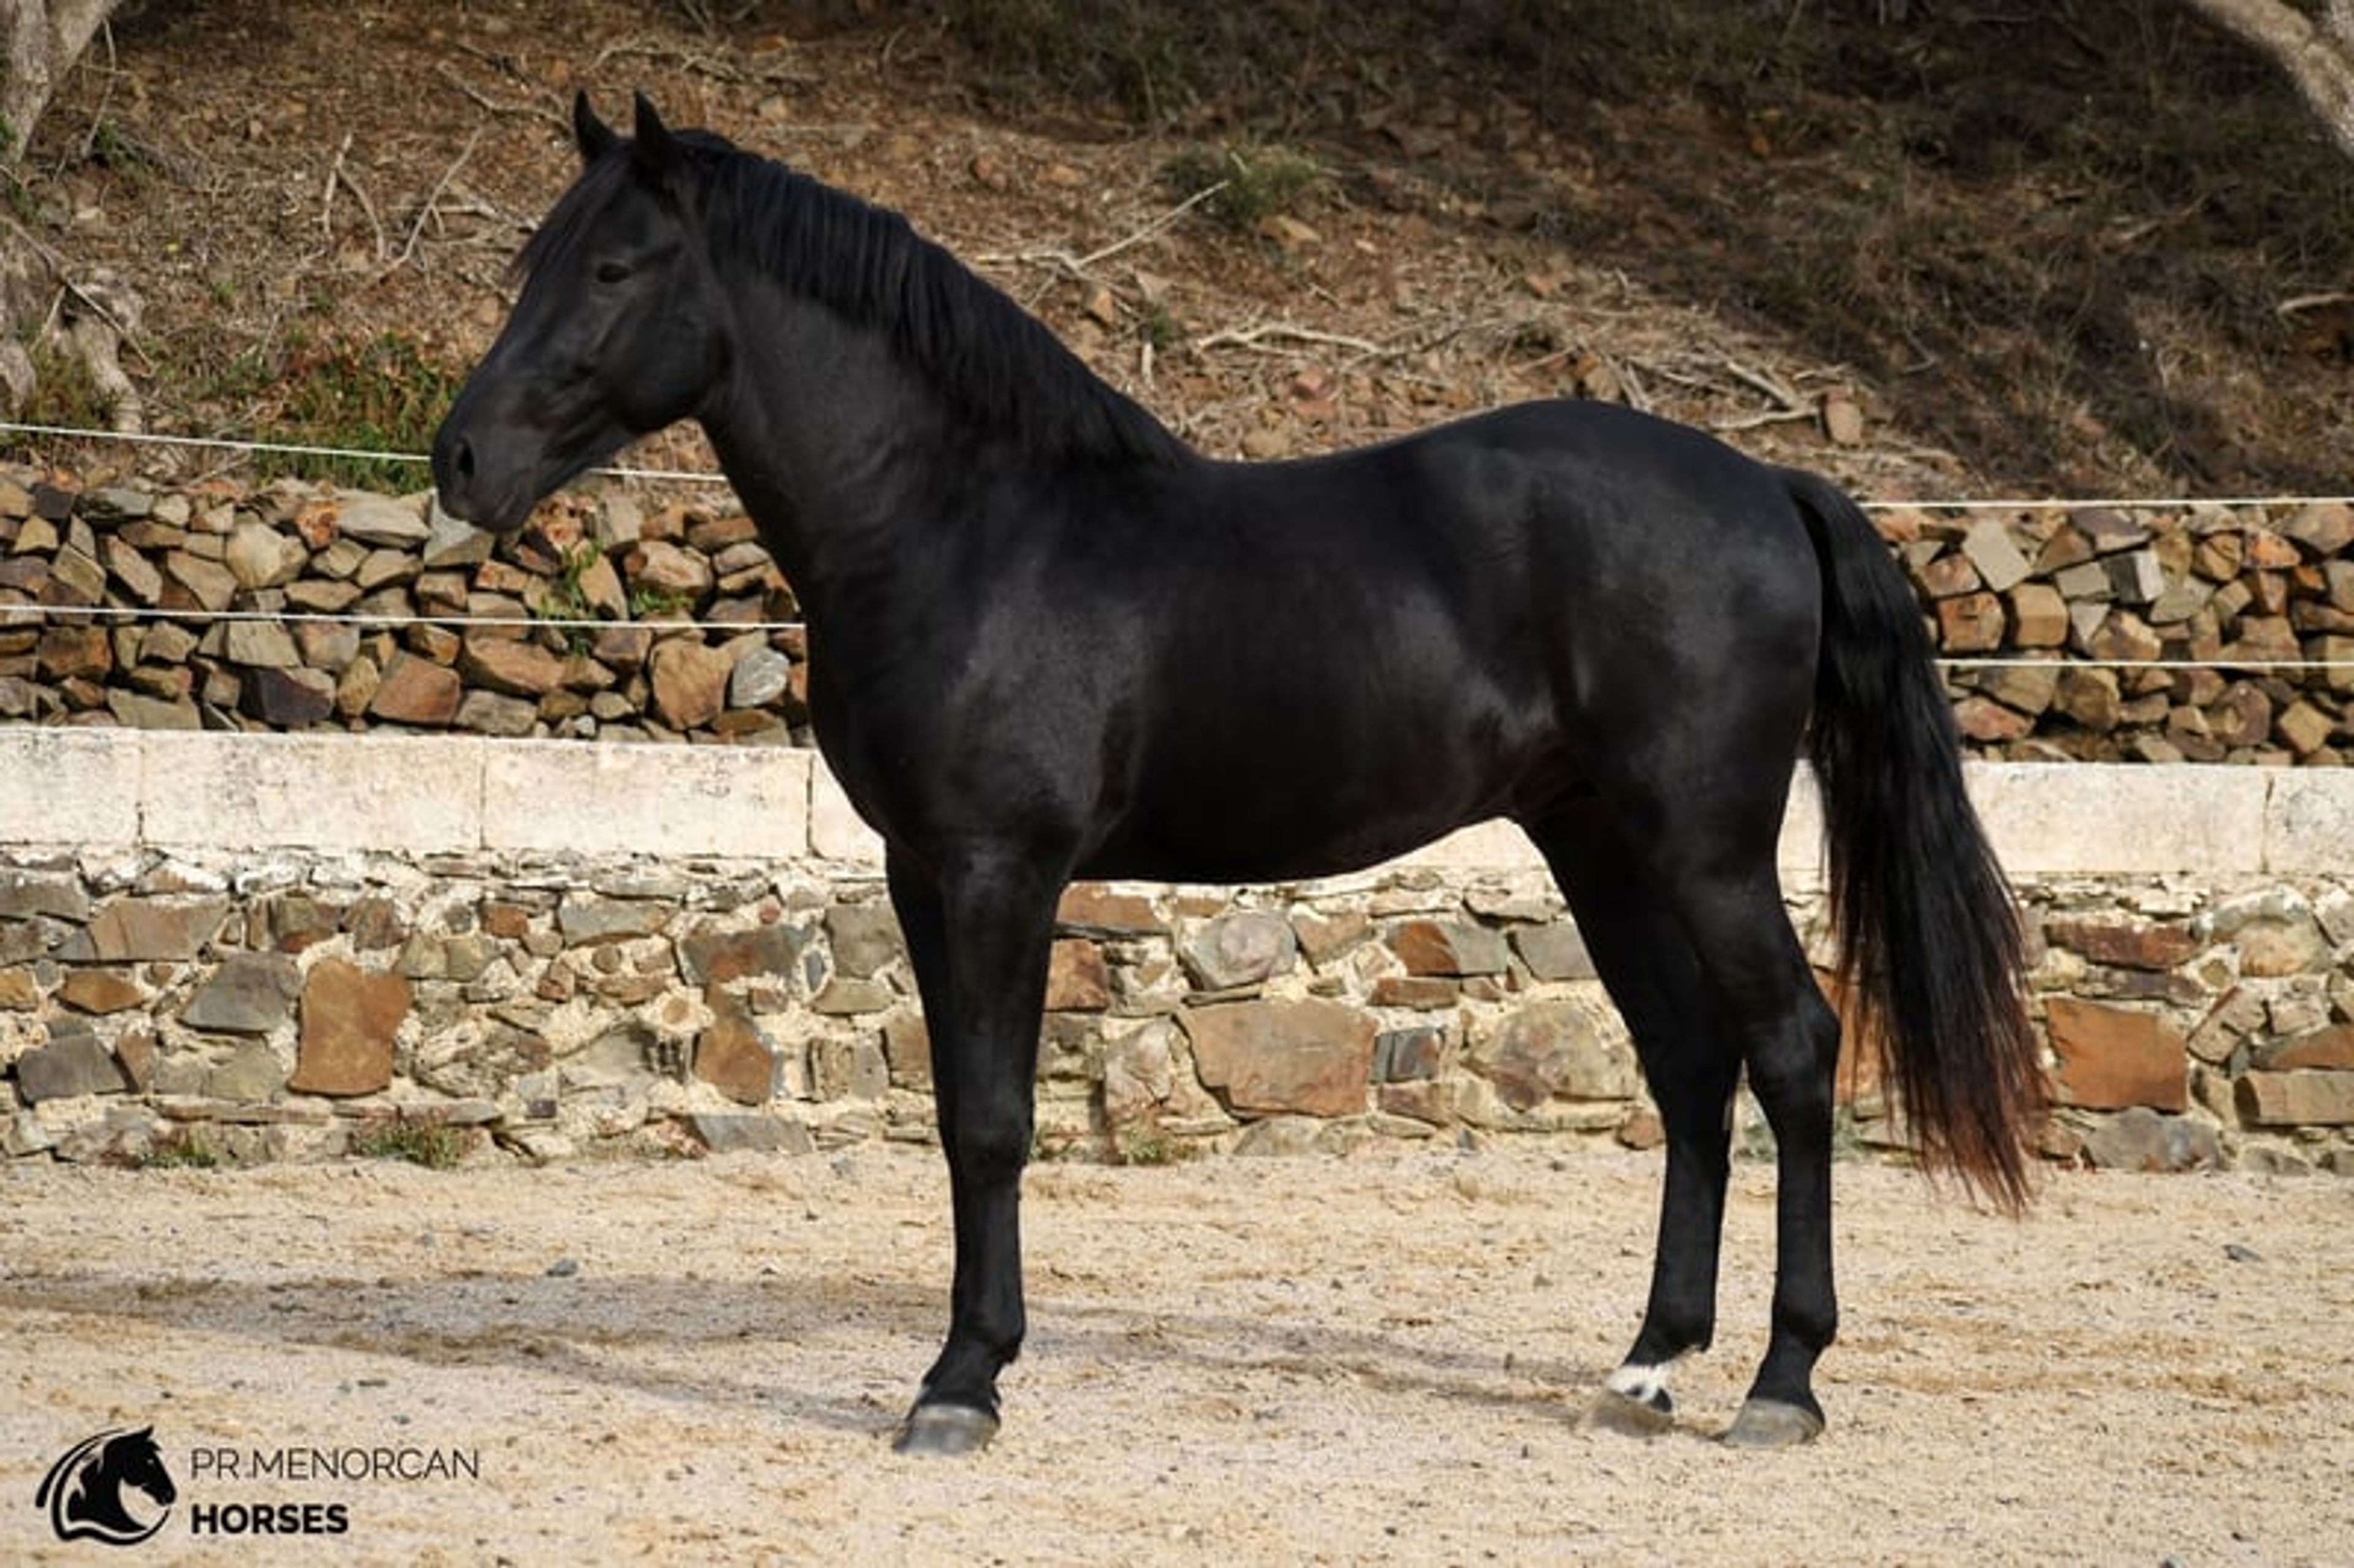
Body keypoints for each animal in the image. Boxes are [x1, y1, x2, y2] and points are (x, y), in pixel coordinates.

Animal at [433, 93, 2042, 1457]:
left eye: (615, 266)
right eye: (534, 259)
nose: (459, 461)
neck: (965, 522)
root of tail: (1767, 482)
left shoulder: (1000, 869)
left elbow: (992, 1120)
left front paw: (961, 1386)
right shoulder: (922, 870)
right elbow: (959, 1114)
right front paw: (969, 1364)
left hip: (1701, 845)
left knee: (1791, 1050)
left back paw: (1782, 1382)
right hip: (1602, 842)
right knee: (1692, 1065)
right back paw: (1647, 1366)